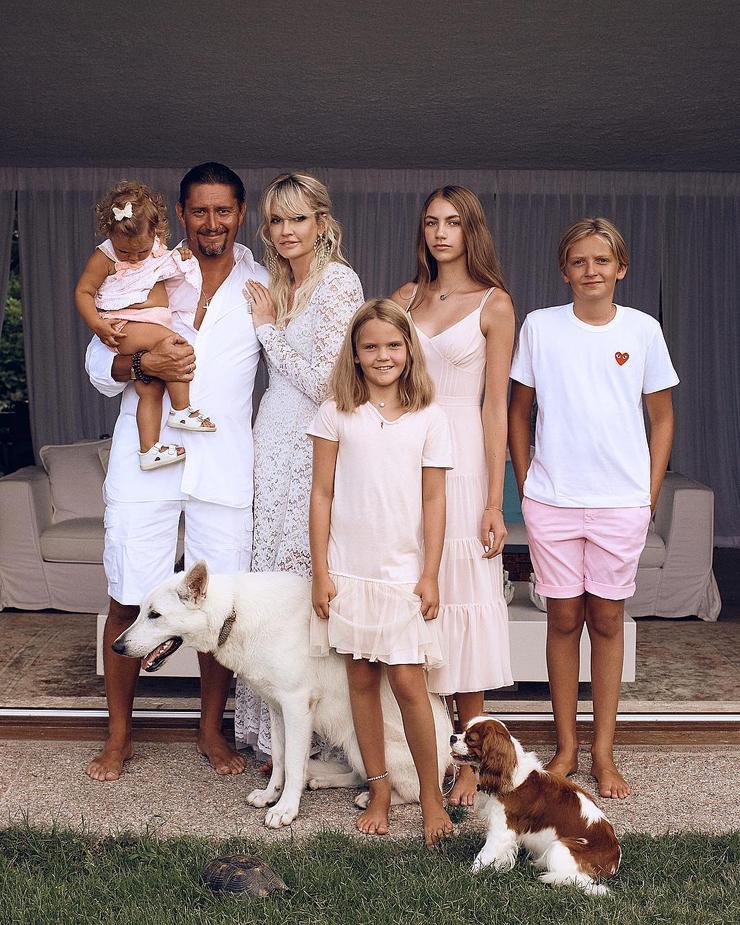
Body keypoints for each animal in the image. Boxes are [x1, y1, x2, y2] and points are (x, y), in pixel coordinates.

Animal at [113, 560, 452, 828]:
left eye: (155, 615)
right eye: (140, 612)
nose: (117, 647)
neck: (233, 612)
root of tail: (448, 760)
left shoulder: (296, 707)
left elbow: (292, 762)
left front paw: (286, 809)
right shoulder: (276, 709)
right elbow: (279, 758)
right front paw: (270, 795)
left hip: (366, 741)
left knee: (413, 791)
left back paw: (371, 799)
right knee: (358, 773)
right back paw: (324, 780)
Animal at [451, 716, 621, 896]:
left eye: (470, 738)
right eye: (463, 731)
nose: (452, 737)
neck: (509, 773)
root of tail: (613, 862)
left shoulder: (501, 831)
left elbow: (484, 855)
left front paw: (469, 875)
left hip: (559, 848)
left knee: (581, 880)